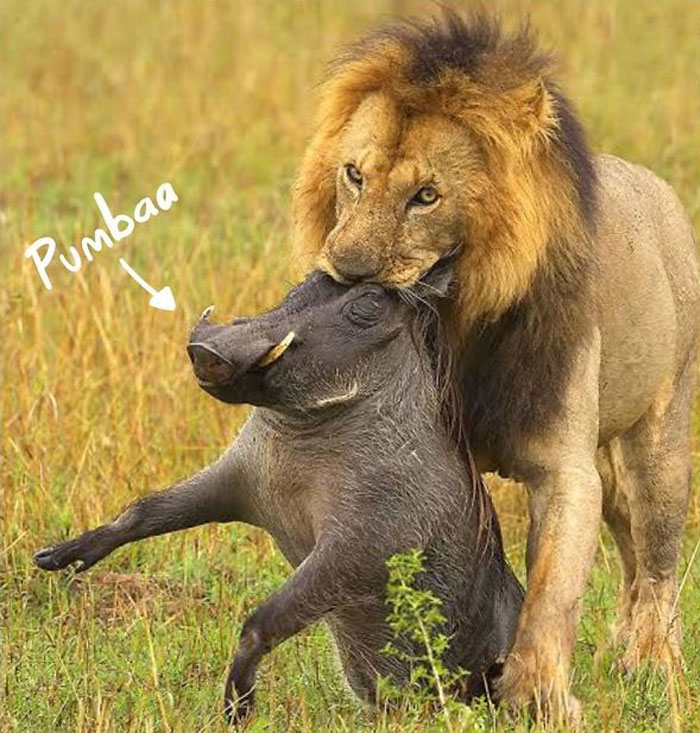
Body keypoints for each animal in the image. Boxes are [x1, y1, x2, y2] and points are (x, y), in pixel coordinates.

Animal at [292, 10, 700, 721]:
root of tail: (662, 192)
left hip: (660, 441)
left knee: (656, 563)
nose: (346, 271)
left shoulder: (565, 469)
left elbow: (551, 593)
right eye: (354, 175)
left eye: (426, 195)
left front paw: (538, 699)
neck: (453, 323)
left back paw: (653, 666)